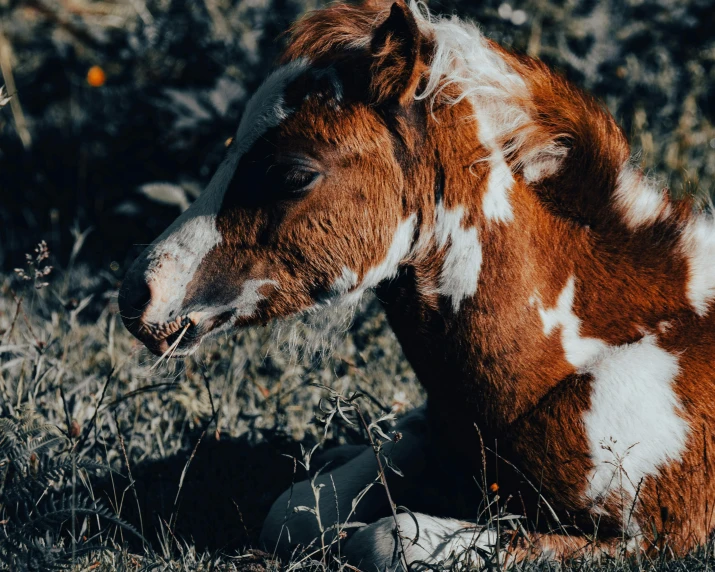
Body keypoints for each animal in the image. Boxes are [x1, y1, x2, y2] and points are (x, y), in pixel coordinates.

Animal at [120, 2, 715, 568]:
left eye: (294, 174)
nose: (138, 295)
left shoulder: (647, 537)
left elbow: (388, 539)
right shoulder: (433, 428)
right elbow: (293, 509)